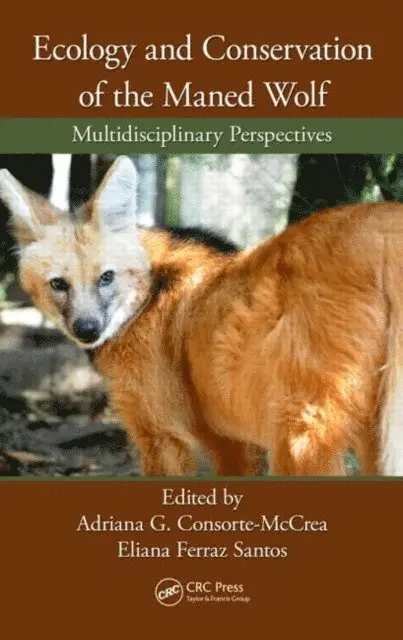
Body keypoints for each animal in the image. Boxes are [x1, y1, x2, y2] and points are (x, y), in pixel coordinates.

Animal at [1, 155, 403, 476]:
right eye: (59, 284)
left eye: (106, 277)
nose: (87, 329)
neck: (148, 292)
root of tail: (385, 226)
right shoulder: (228, 440)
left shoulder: (163, 434)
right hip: (371, 432)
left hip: (299, 434)